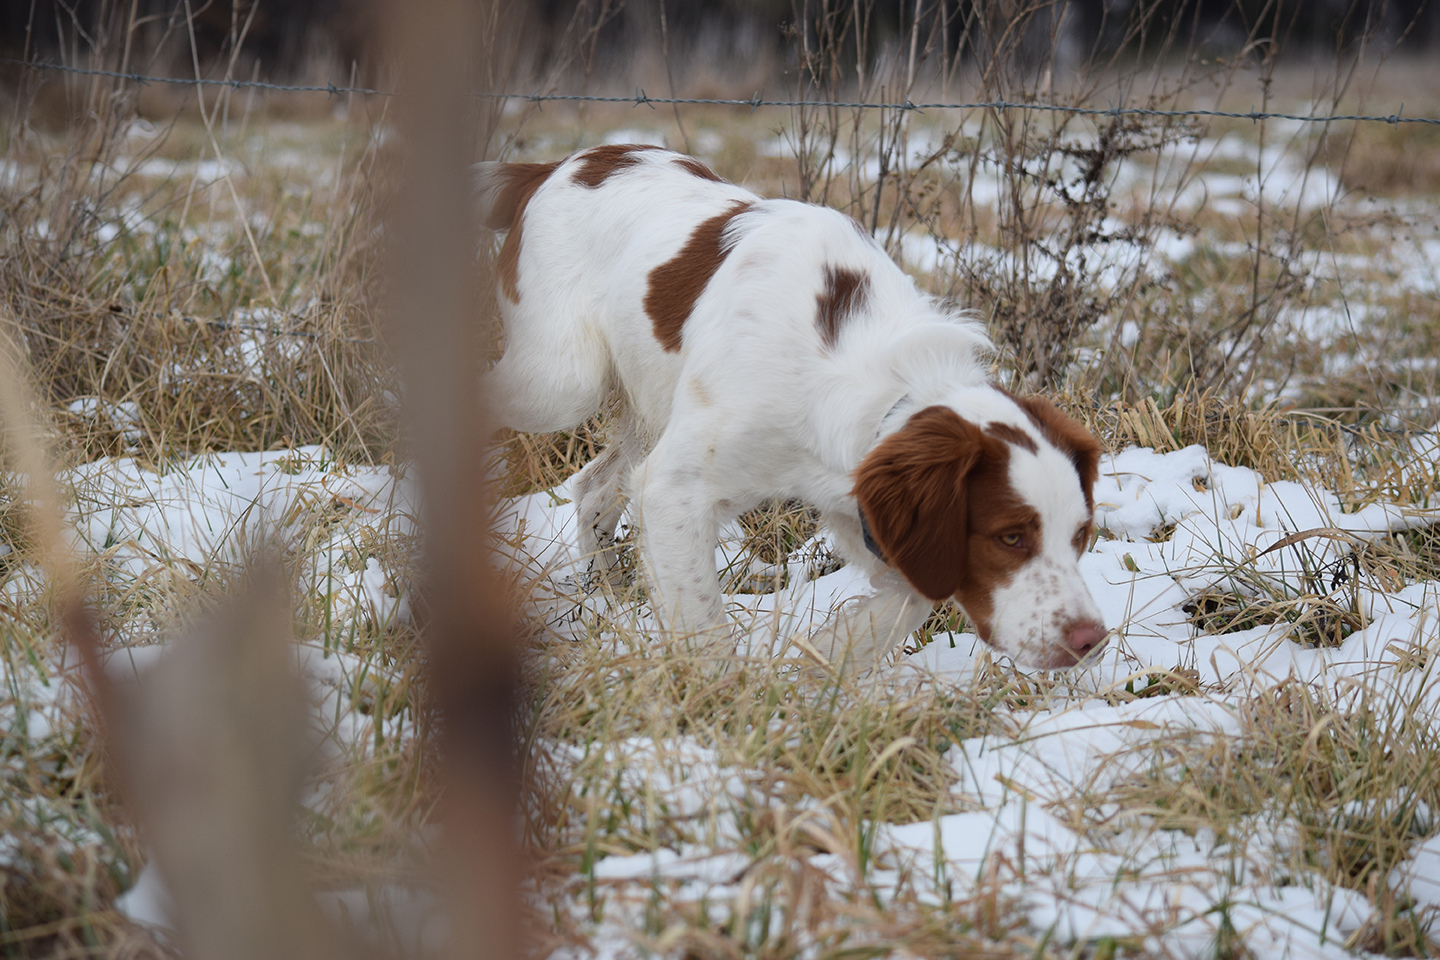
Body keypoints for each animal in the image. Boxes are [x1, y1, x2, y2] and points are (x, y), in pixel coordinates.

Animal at [478, 146, 1105, 673]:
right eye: (1010, 537)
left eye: (1080, 534)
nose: (1090, 639)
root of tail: (553, 166)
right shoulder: (675, 489)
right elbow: (705, 626)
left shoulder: (857, 500)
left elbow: (908, 598)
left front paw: (825, 658)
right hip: (561, 382)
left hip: (646, 405)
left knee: (592, 488)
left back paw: (605, 599)